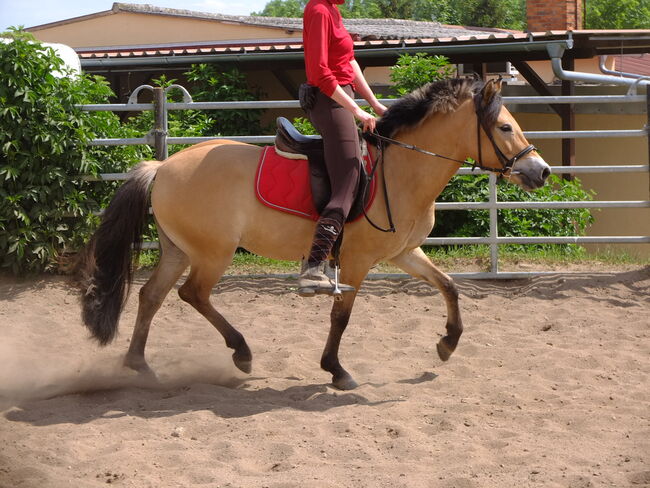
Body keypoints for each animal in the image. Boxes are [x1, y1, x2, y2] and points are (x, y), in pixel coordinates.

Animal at [78, 78, 548, 390]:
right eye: (505, 127)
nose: (540, 171)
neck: (401, 170)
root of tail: (163, 166)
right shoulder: (357, 261)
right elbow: (341, 316)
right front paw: (336, 370)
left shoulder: (403, 252)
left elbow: (449, 285)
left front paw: (448, 344)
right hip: (212, 253)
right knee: (192, 294)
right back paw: (241, 352)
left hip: (179, 249)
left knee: (150, 296)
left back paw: (141, 366)